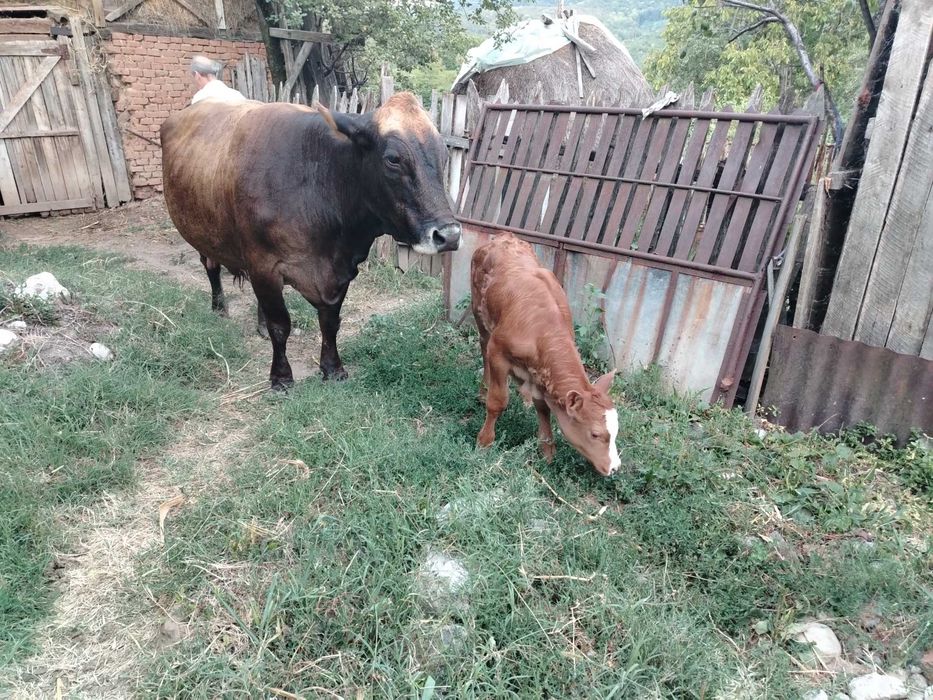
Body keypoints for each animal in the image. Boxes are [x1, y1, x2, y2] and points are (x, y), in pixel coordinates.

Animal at [160, 92, 461, 389]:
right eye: (393, 159)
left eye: (444, 154)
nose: (449, 235)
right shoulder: (264, 265)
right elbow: (280, 325)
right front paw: (281, 377)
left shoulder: (341, 271)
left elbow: (330, 322)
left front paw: (333, 368)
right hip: (202, 231)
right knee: (211, 268)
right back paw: (219, 308)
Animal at [470, 234, 622, 477]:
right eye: (595, 434)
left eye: (616, 431)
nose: (615, 467)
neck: (544, 330)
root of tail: (504, 236)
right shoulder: (498, 352)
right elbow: (497, 401)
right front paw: (484, 441)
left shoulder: (542, 374)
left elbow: (543, 408)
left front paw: (547, 451)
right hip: (480, 315)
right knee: (483, 347)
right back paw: (484, 390)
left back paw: (524, 398)